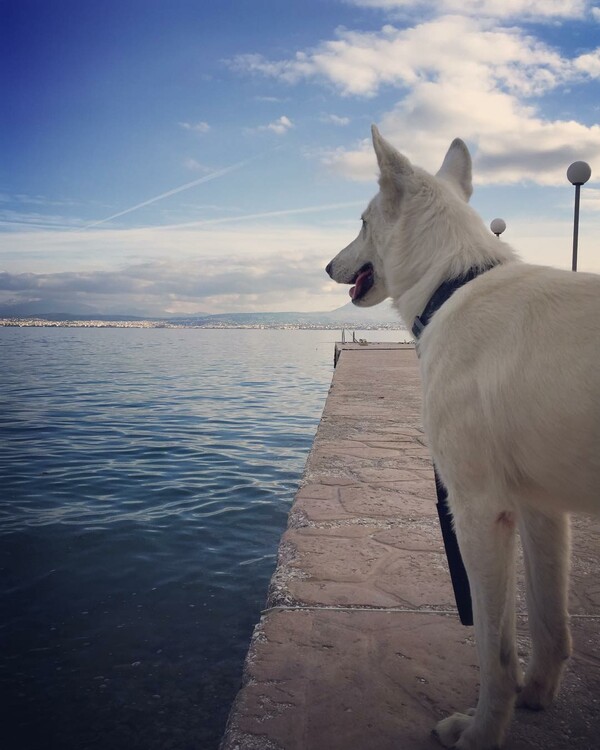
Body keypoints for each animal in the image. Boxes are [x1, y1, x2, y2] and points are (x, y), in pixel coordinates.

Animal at [328, 126, 600, 748]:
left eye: (361, 221)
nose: (327, 266)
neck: (451, 286)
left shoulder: (478, 510)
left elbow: (493, 651)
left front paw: (481, 732)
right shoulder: (542, 509)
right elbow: (550, 625)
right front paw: (536, 697)